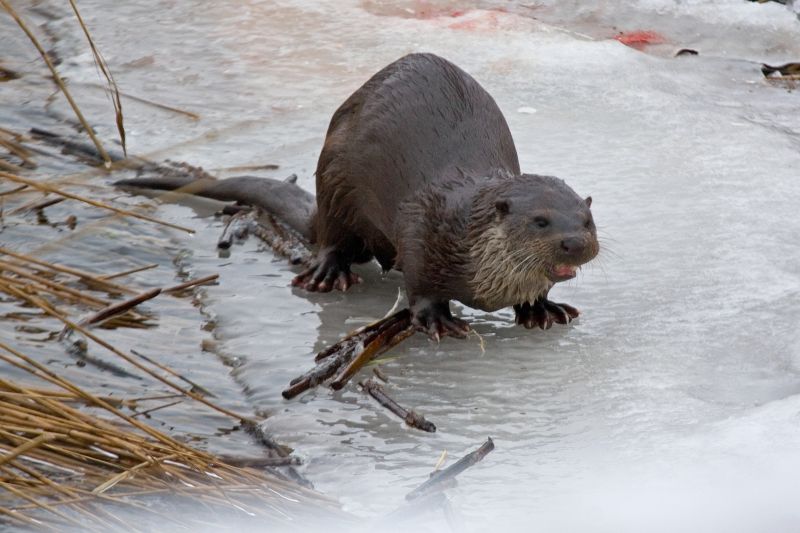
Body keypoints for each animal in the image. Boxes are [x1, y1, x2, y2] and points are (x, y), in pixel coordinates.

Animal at [115, 53, 596, 336]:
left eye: (587, 221)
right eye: (540, 221)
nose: (575, 243)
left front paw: (540, 308)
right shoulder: (422, 234)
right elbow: (420, 286)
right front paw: (437, 320)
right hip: (334, 183)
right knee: (332, 237)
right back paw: (327, 274)